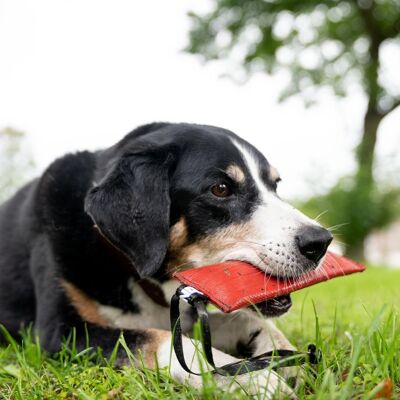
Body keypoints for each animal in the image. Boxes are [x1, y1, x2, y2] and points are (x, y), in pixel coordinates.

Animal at [0, 123, 332, 398]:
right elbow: (162, 342)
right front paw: (249, 379)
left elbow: (247, 320)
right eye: (221, 189)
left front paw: (287, 355)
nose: (320, 242)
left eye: (275, 185)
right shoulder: (61, 332)